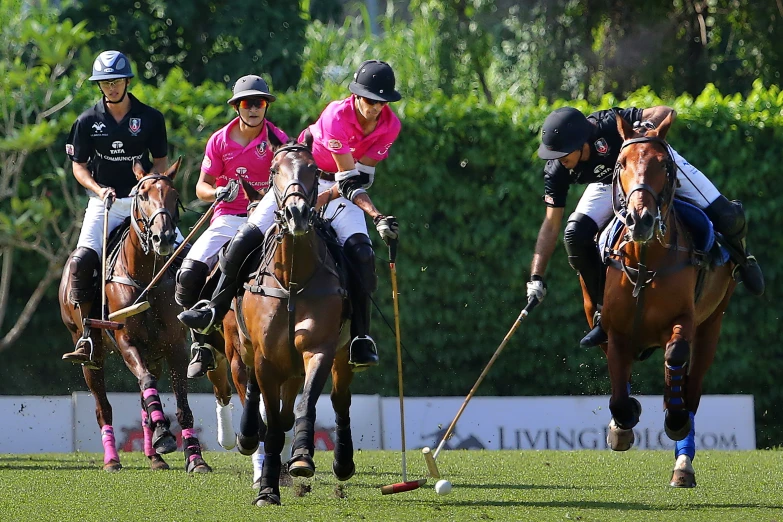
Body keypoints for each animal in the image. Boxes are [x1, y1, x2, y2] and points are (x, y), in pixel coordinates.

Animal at [59, 160, 211, 474]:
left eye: (174, 195)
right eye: (142, 195)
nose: (163, 237)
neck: (145, 277)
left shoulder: (174, 348)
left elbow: (182, 406)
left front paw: (195, 458)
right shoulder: (127, 341)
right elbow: (147, 384)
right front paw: (165, 435)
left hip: (153, 355)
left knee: (143, 402)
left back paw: (155, 456)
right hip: (92, 356)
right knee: (103, 407)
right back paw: (112, 460)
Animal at [233, 142, 356, 504]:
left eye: (313, 170)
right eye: (275, 170)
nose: (297, 213)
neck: (292, 277)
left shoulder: (319, 349)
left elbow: (306, 403)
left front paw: (302, 457)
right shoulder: (264, 358)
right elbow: (272, 423)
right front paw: (268, 489)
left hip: (341, 353)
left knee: (339, 400)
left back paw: (342, 461)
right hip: (250, 349)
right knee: (257, 394)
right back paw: (248, 435)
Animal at [596, 111, 740, 486]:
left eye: (664, 164)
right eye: (621, 164)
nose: (641, 220)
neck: (646, 261)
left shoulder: (685, 320)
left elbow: (676, 359)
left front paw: (675, 421)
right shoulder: (615, 331)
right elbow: (618, 393)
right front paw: (622, 424)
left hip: (713, 323)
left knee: (692, 388)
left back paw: (683, 463)